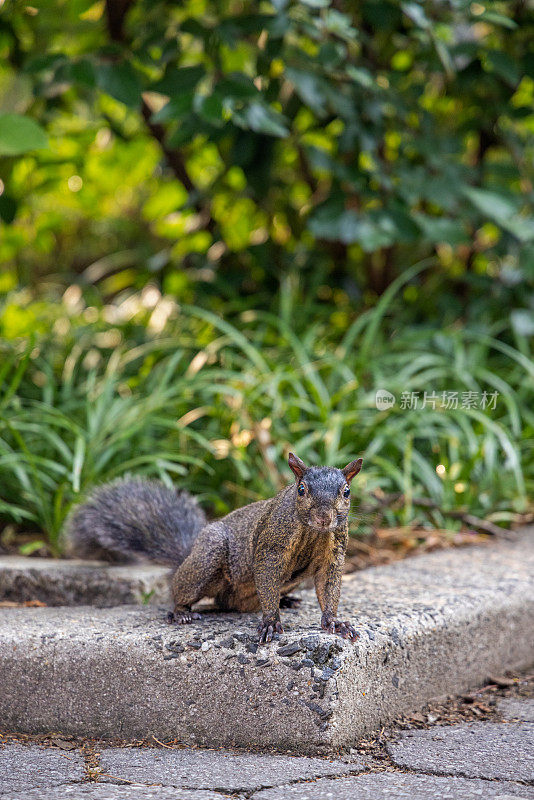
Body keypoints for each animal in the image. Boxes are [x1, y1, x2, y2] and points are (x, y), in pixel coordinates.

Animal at [63, 450, 364, 644]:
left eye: (347, 492)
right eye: (301, 490)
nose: (324, 517)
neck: (313, 532)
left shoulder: (333, 552)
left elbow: (328, 586)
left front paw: (334, 622)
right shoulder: (271, 546)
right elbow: (267, 577)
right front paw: (270, 621)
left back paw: (286, 600)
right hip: (207, 558)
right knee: (181, 591)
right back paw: (181, 613)